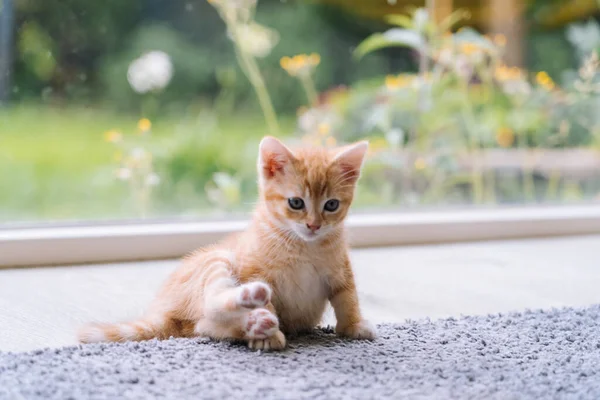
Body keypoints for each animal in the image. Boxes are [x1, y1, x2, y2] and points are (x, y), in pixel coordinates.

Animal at [79, 136, 376, 348]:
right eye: (296, 202)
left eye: (331, 205)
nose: (314, 225)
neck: (304, 245)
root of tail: (163, 310)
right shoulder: (255, 269)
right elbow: (269, 301)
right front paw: (269, 336)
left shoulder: (340, 269)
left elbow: (347, 297)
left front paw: (353, 326)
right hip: (218, 259)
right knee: (211, 308)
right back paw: (255, 310)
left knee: (206, 326)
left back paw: (255, 325)